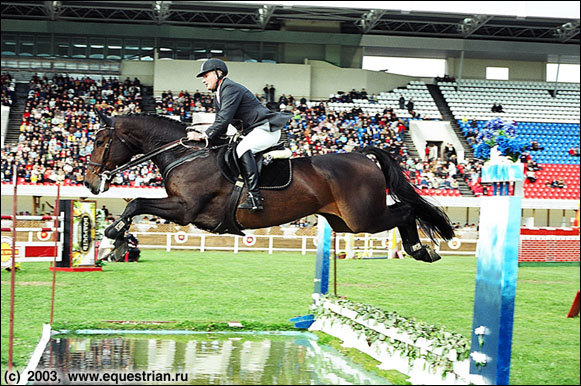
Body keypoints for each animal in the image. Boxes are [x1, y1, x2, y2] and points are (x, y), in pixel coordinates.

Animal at [82, 111, 454, 262]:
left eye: (100, 141)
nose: (88, 181)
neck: (184, 154)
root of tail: (363, 155)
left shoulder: (185, 210)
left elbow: (136, 203)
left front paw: (113, 234)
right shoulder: (182, 208)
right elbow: (136, 204)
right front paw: (115, 241)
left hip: (364, 217)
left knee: (407, 210)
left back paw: (420, 250)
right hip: (344, 222)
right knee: (404, 211)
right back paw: (420, 250)